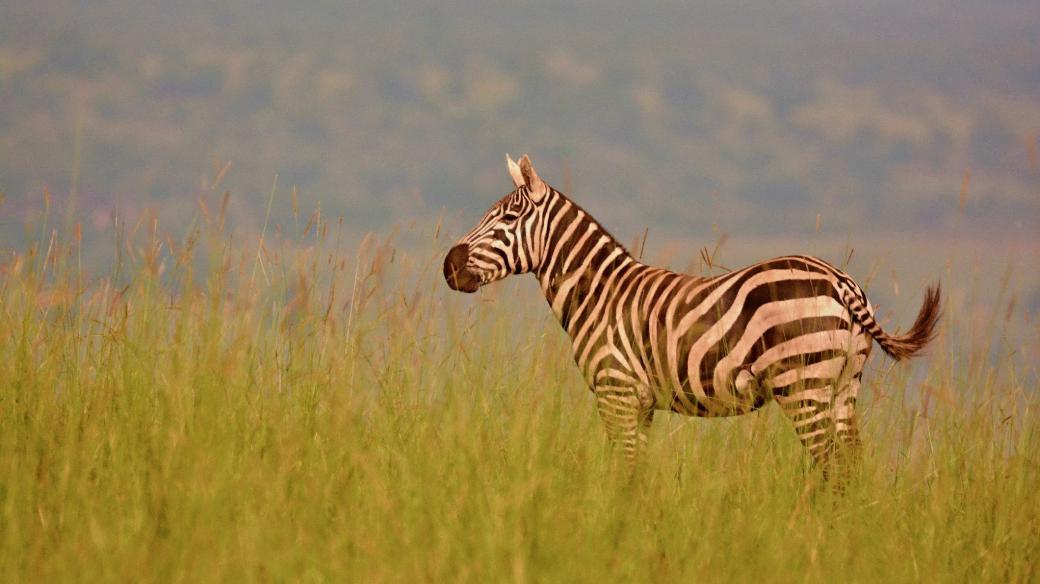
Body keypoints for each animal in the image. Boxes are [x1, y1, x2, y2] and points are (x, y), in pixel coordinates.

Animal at [444, 154, 941, 481]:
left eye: (507, 218)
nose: (449, 265)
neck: (598, 294)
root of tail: (841, 281)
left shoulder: (615, 391)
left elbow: (625, 474)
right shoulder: (640, 404)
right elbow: (637, 472)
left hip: (803, 384)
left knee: (833, 470)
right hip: (842, 386)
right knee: (852, 469)